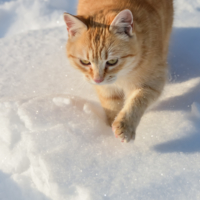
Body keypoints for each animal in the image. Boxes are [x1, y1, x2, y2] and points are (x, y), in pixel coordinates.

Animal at [63, 0, 173, 143]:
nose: (98, 79)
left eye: (112, 61)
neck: (123, 75)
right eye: (85, 62)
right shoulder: (106, 89)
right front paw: (110, 125)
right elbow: (111, 104)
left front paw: (124, 125)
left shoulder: (153, 81)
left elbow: (137, 101)